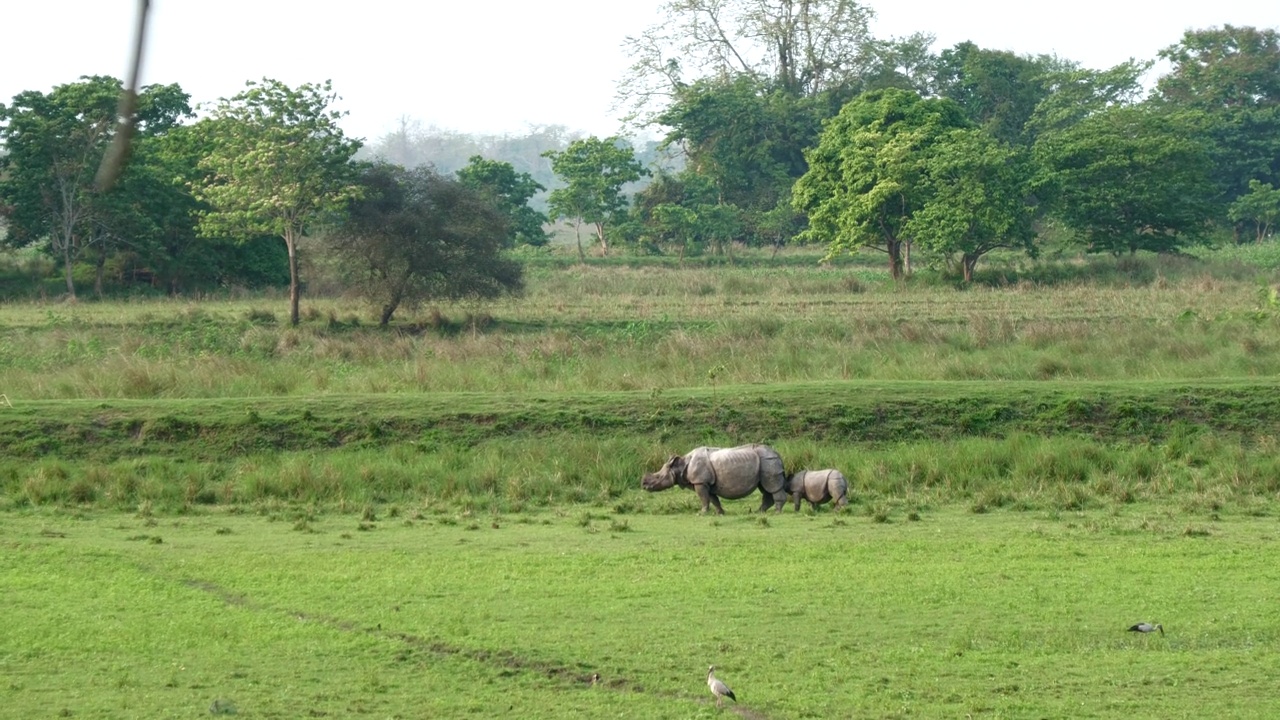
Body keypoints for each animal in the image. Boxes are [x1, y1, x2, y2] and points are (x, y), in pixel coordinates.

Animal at [640, 440, 788, 512]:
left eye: (658, 477)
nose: (643, 485)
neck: (681, 466)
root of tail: (778, 454)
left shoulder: (700, 482)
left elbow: (704, 499)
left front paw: (701, 513)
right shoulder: (706, 482)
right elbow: (713, 499)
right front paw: (720, 513)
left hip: (768, 461)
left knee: (771, 487)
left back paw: (777, 512)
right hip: (765, 462)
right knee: (765, 488)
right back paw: (759, 512)